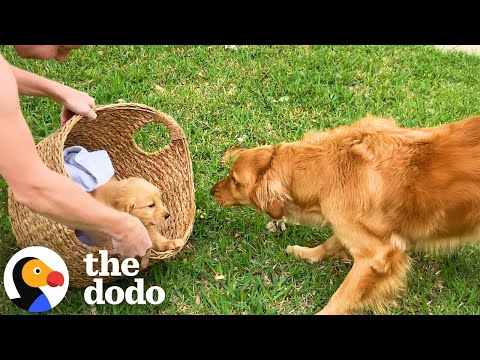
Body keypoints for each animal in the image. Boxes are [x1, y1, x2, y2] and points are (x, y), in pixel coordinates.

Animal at [211, 116, 480, 316]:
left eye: (235, 180)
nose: (212, 191)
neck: (327, 168)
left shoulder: (377, 255)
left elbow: (342, 297)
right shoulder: (348, 226)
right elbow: (330, 244)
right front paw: (305, 253)